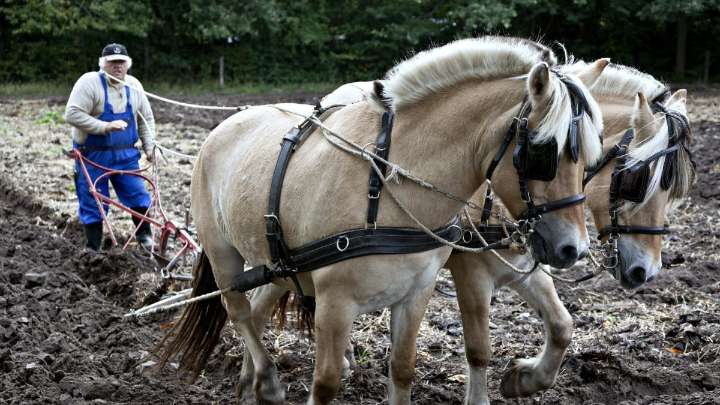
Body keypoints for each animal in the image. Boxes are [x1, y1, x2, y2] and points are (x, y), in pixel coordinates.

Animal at [157, 36, 608, 404]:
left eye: (591, 155)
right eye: (543, 152)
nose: (573, 248)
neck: (387, 185)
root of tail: (228, 123)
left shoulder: (420, 291)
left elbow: (405, 368)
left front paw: (524, 377)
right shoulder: (344, 300)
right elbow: (327, 383)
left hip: (280, 264)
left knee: (257, 307)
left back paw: (250, 384)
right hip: (223, 252)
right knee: (237, 309)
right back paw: (266, 379)